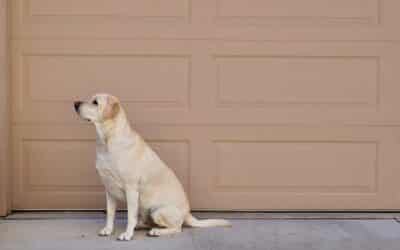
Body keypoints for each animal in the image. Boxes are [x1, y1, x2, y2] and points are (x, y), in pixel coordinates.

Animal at [73, 94, 230, 240]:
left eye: (95, 102)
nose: (75, 103)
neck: (107, 141)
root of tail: (187, 213)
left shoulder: (131, 189)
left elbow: (130, 216)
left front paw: (127, 234)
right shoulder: (109, 189)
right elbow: (110, 214)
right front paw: (108, 230)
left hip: (158, 211)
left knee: (177, 228)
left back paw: (157, 231)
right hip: (145, 209)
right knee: (146, 222)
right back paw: (140, 226)